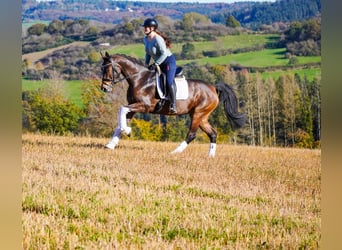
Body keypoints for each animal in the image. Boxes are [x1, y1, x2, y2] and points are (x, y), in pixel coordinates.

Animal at [99, 51, 246, 156]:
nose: (104, 88)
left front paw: (127, 131)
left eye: (107, 69)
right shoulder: (133, 106)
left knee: (192, 134)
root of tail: (214, 88)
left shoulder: (144, 106)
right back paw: (210, 156)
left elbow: (122, 110)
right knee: (213, 134)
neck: (139, 78)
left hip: (198, 114)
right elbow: (121, 118)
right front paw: (111, 144)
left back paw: (175, 152)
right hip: (201, 116)